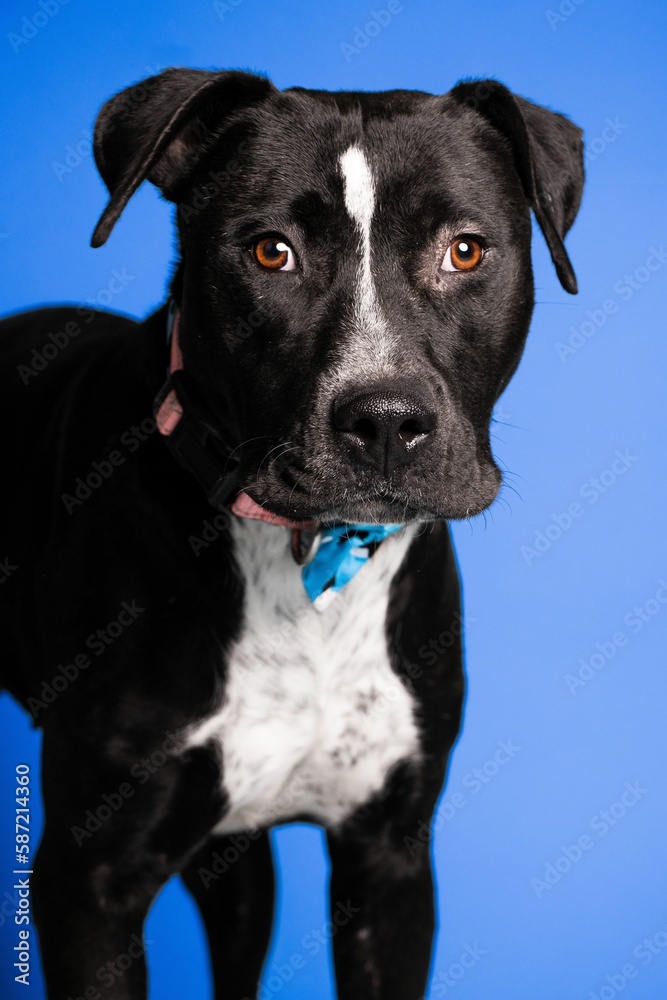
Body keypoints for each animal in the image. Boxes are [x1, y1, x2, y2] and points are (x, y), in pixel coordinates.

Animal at [0, 72, 580, 1000]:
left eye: (464, 251)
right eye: (271, 252)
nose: (385, 422)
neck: (309, 562)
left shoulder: (389, 866)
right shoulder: (88, 882)